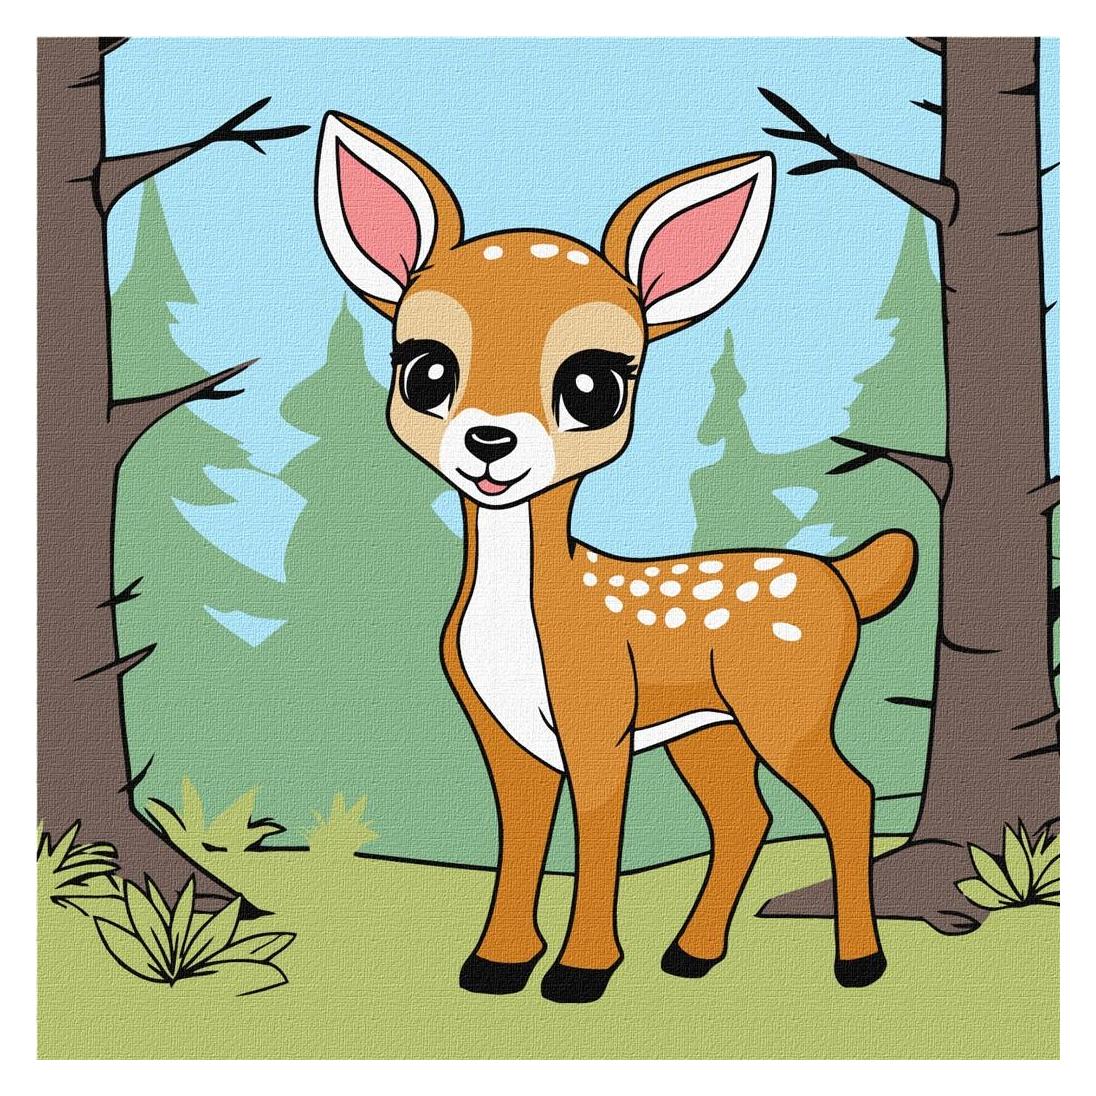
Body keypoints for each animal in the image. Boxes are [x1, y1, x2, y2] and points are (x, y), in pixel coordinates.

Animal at [314, 112, 917, 1004]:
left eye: (594, 384)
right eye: (425, 369)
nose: (489, 441)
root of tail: (842, 577)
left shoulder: (598, 716)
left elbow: (599, 835)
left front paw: (579, 972)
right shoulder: (502, 733)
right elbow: (521, 841)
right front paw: (496, 963)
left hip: (788, 704)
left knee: (849, 795)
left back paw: (859, 962)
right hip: (709, 728)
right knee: (747, 816)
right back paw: (691, 955)